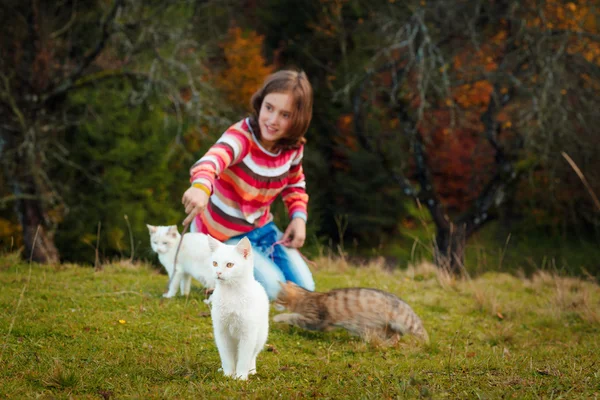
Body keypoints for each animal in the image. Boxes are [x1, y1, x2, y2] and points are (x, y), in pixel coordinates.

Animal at [209, 236, 270, 380]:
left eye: (229, 265)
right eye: (214, 263)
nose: (218, 272)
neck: (231, 293)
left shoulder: (248, 333)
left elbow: (244, 358)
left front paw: (241, 377)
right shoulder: (221, 331)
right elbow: (226, 356)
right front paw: (228, 374)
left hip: (260, 335)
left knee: (252, 355)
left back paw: (251, 370)